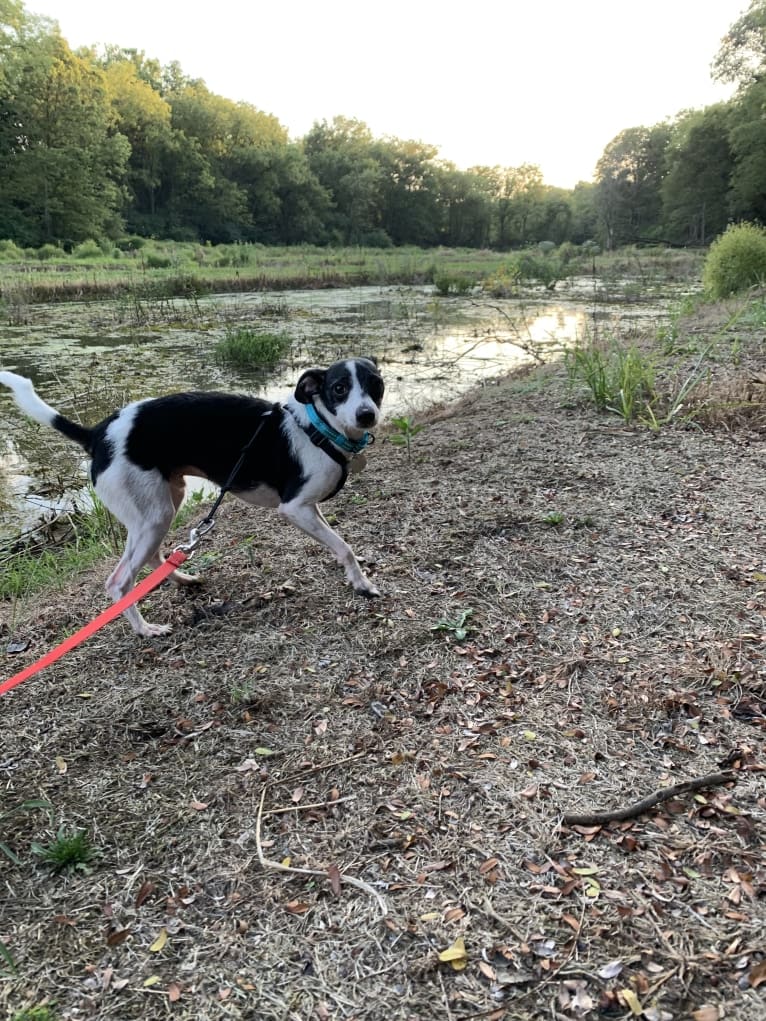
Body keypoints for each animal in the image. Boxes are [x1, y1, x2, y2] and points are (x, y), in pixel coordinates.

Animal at [0, 355, 384, 633]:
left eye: (376, 386)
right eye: (339, 388)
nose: (367, 415)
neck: (320, 427)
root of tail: (98, 434)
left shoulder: (310, 510)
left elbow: (339, 544)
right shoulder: (296, 508)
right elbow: (343, 546)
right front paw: (361, 584)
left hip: (162, 506)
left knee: (153, 557)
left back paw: (183, 579)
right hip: (153, 515)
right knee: (119, 582)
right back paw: (146, 630)